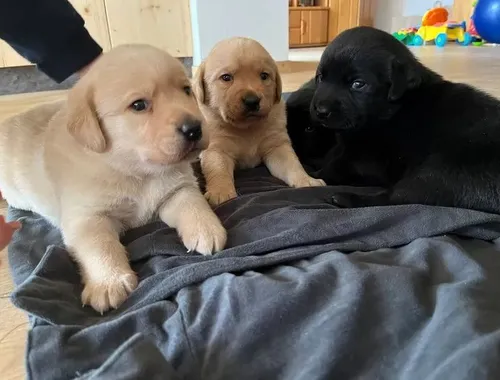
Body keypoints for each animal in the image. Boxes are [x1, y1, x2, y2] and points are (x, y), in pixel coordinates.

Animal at [0, 43, 227, 312]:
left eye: (186, 91)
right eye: (139, 105)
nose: (194, 129)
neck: (136, 171)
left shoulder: (177, 189)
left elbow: (193, 203)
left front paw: (207, 229)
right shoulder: (86, 217)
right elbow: (99, 245)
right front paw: (108, 282)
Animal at [191, 37, 324, 206]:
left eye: (264, 76)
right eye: (226, 77)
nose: (252, 101)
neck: (246, 128)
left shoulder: (277, 146)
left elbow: (293, 164)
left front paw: (306, 180)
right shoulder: (216, 149)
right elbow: (218, 170)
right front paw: (220, 192)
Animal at [286, 26, 500, 215]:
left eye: (358, 84)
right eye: (320, 77)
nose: (320, 111)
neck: (390, 111)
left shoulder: (364, 159)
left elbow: (331, 169)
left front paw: (310, 175)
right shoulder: (347, 147)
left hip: (441, 171)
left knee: (401, 198)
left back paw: (346, 198)